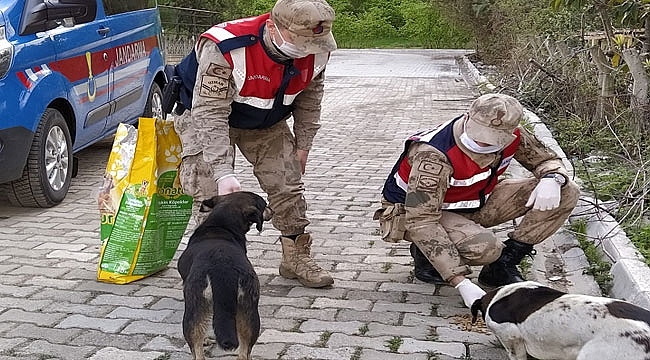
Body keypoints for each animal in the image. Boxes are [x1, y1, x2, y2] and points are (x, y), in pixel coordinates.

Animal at [175, 191, 270, 360]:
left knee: (197, 350)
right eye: (264, 204)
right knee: (244, 352)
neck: (220, 226)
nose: (271, 210)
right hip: (250, 311)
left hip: (192, 310)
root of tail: (222, 267)